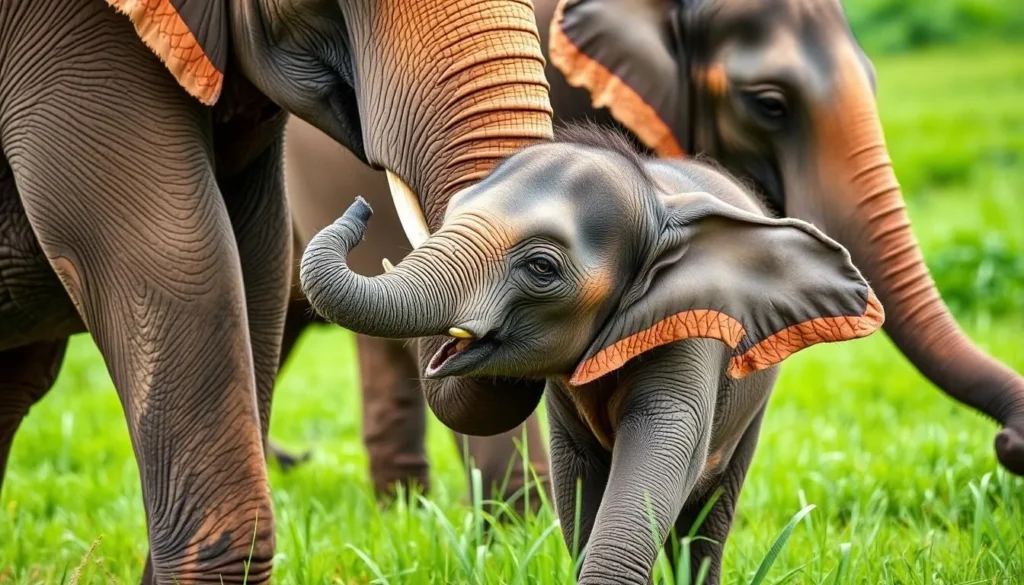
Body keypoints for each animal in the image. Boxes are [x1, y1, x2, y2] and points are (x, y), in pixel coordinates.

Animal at [297, 125, 885, 584]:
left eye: (541, 267)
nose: (363, 206)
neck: (654, 200)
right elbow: (577, 481)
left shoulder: (691, 329)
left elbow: (660, 446)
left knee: (708, 517)